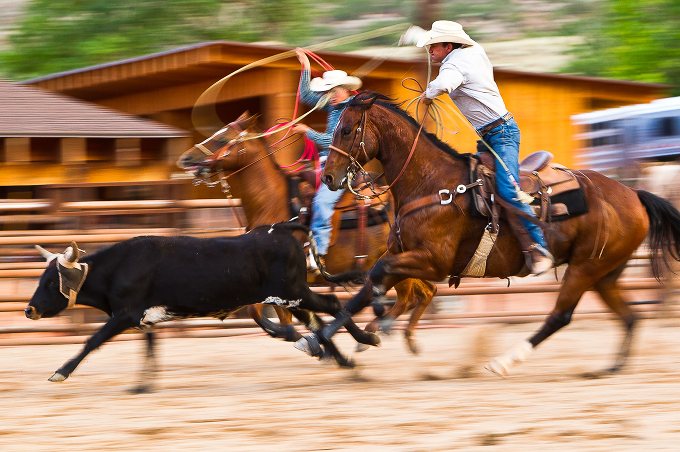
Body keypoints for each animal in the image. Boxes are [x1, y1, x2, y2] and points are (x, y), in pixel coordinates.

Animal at [178, 111, 438, 352]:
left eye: (223, 138)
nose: (186, 158)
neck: (272, 204)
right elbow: (274, 314)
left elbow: (263, 312)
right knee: (426, 292)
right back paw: (405, 338)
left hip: (397, 264)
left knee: (408, 297)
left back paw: (372, 333)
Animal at [310, 92, 680, 374]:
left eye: (346, 130)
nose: (328, 177)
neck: (431, 184)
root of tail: (634, 193)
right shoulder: (400, 252)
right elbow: (365, 286)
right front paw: (324, 338)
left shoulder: (433, 262)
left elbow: (379, 276)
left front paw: (377, 324)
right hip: (605, 272)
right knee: (630, 317)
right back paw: (612, 367)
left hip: (585, 268)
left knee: (560, 316)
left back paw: (504, 361)